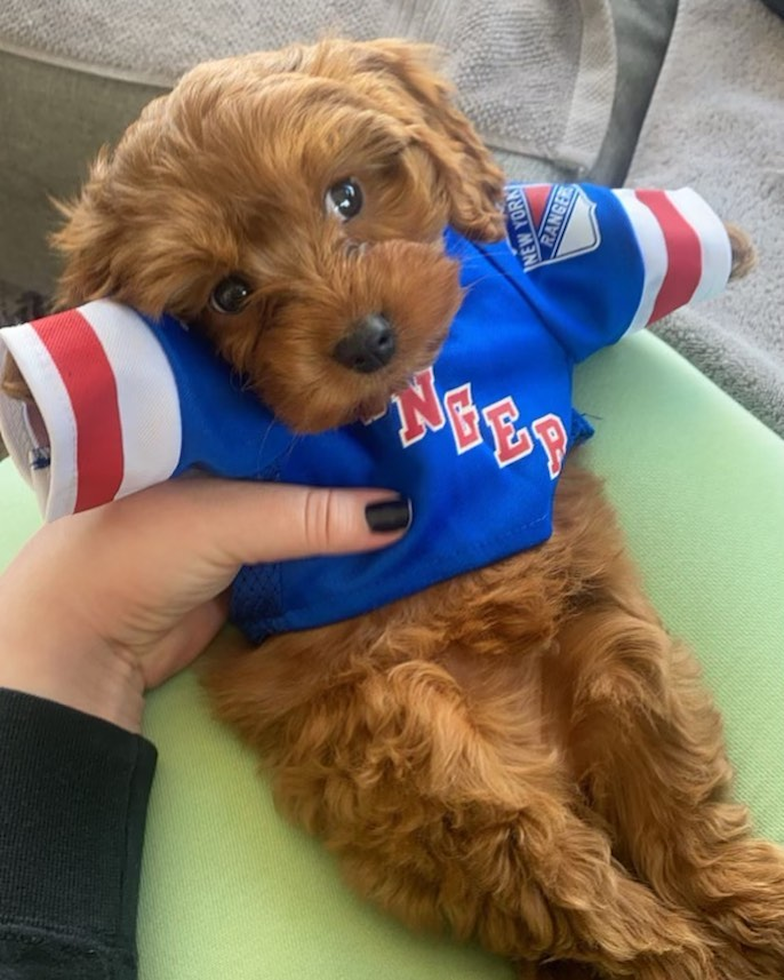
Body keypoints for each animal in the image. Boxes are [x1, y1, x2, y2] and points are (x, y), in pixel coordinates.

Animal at [7, 38, 784, 980]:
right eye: (228, 295)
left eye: (347, 197)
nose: (366, 339)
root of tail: (543, 755)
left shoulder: (520, 270)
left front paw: (730, 242)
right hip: (424, 766)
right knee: (579, 891)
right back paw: (689, 949)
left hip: (608, 644)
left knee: (677, 814)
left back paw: (751, 908)